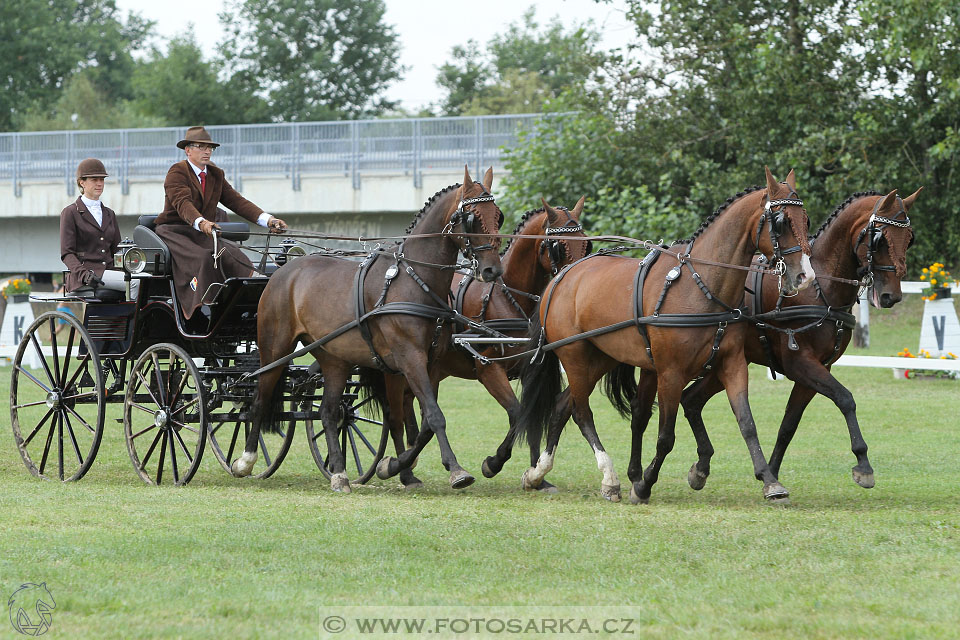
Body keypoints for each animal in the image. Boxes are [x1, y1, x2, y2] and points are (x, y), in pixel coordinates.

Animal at [236, 168, 506, 492]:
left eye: (498, 216)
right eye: (472, 217)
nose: (492, 270)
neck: (414, 281)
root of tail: (283, 270)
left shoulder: (430, 364)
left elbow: (424, 423)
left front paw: (394, 466)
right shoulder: (409, 358)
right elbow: (433, 416)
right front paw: (453, 470)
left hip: (333, 359)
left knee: (329, 412)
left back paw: (339, 474)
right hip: (275, 349)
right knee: (259, 400)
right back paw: (245, 461)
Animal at [384, 198, 592, 488]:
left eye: (586, 244)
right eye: (557, 246)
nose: (578, 279)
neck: (508, 299)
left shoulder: (529, 371)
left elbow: (530, 418)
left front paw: (536, 477)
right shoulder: (488, 369)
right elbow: (517, 413)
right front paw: (494, 462)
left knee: (411, 410)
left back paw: (409, 465)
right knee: (395, 417)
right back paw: (403, 469)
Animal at [512, 166, 812, 504]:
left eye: (806, 221)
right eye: (781, 222)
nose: (804, 275)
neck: (702, 285)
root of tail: (561, 278)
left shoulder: (732, 363)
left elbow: (747, 423)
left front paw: (770, 482)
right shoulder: (671, 372)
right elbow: (666, 436)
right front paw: (644, 484)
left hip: (601, 357)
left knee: (562, 407)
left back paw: (538, 473)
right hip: (575, 357)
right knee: (581, 411)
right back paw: (608, 477)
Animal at [676, 188, 916, 492]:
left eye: (909, 239)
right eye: (879, 239)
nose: (890, 296)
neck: (820, 288)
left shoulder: (818, 368)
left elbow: (789, 424)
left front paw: (772, 473)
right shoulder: (800, 363)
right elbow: (846, 399)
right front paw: (863, 463)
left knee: (691, 400)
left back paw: (701, 467)